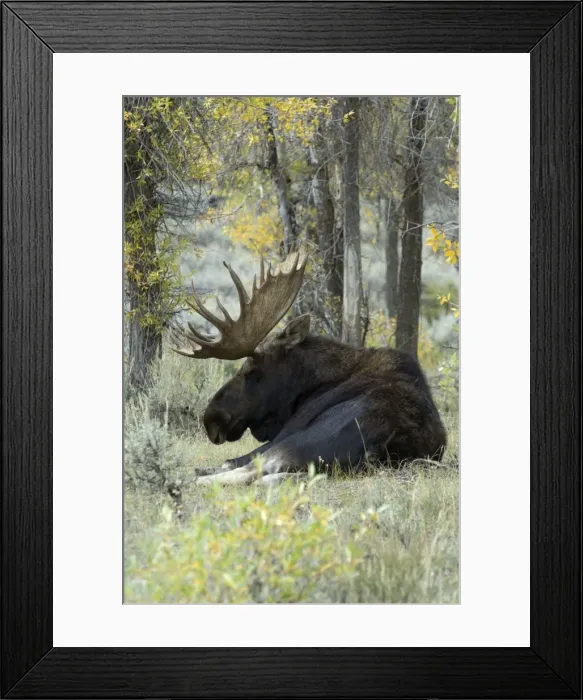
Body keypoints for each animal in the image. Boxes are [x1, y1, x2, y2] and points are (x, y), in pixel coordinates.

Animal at [170, 244, 446, 486]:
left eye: (250, 371)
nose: (211, 418)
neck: (307, 388)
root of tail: (384, 445)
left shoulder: (286, 430)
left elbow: (229, 461)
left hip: (296, 441)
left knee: (250, 469)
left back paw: (191, 481)